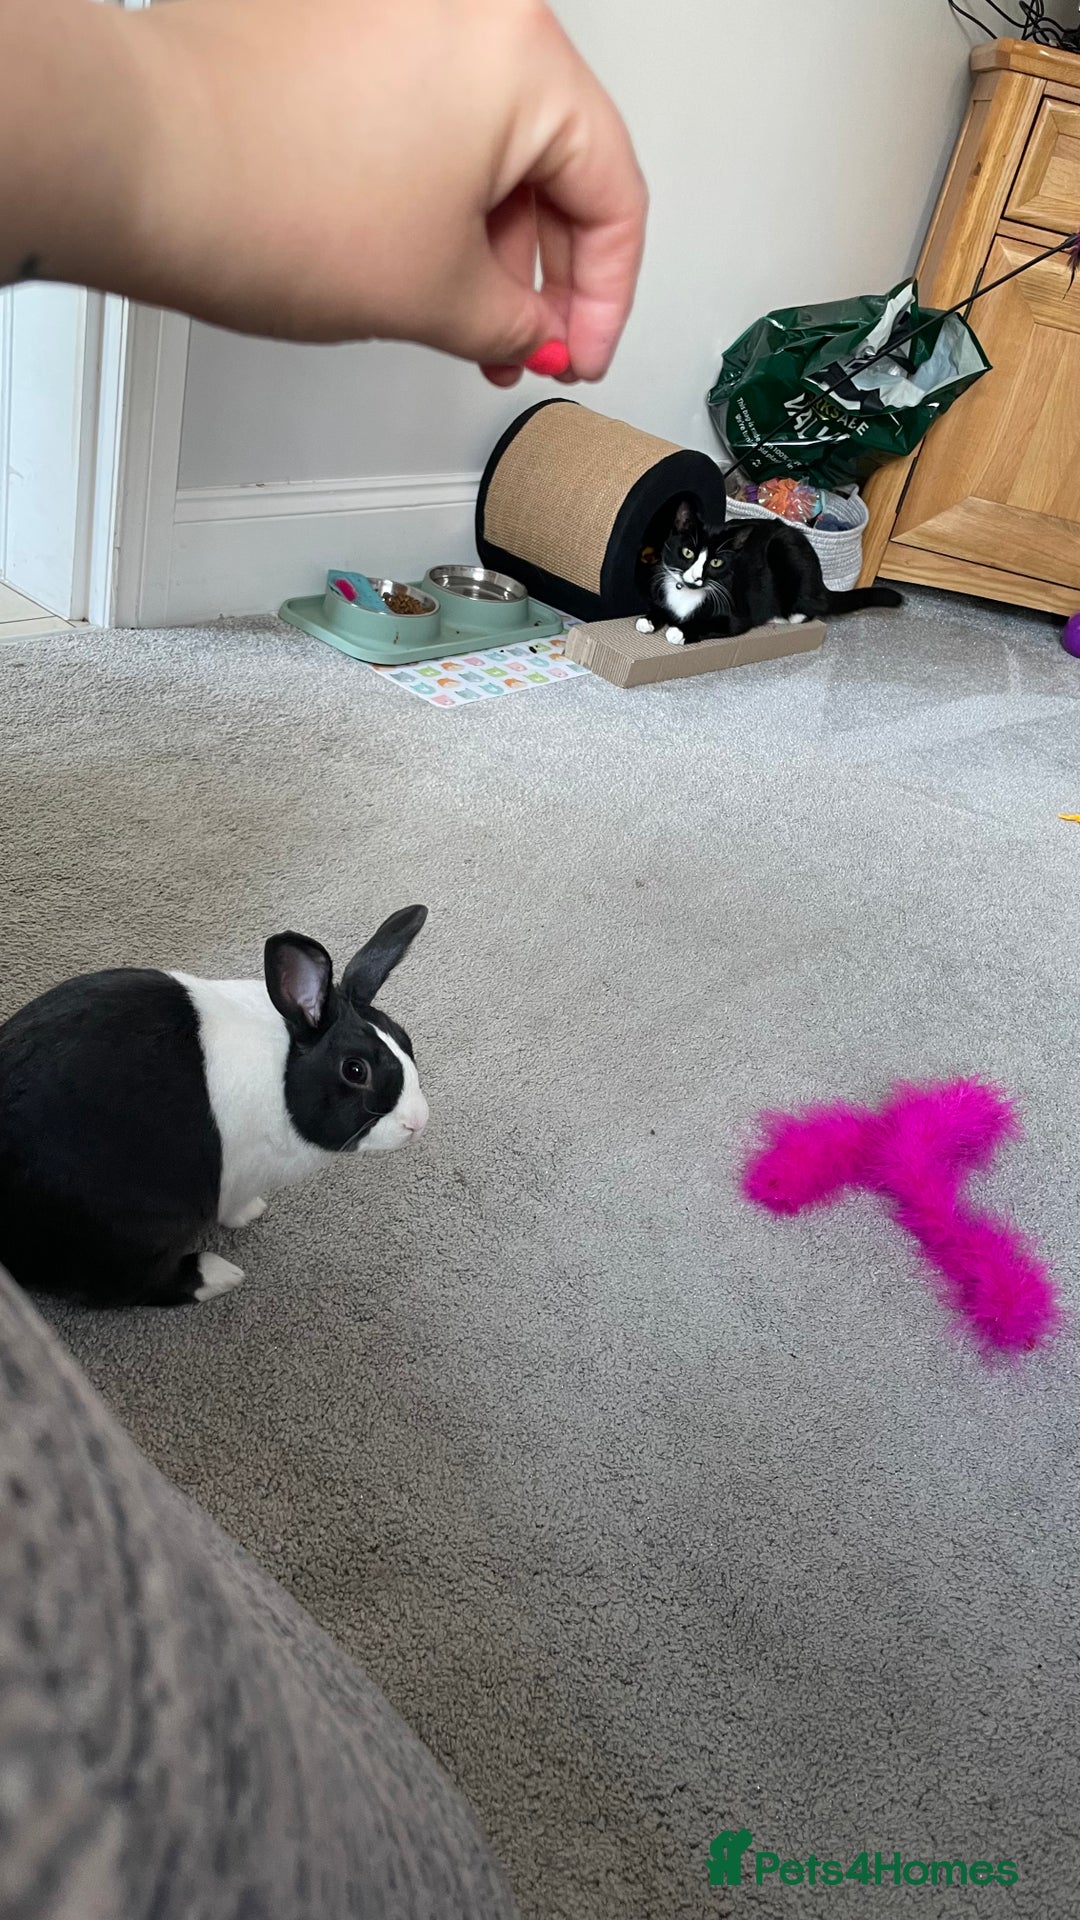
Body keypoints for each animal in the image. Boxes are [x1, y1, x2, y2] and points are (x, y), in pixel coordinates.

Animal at [0, 905, 429, 1308]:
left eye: (404, 1038)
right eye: (355, 1070)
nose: (418, 1121)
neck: (281, 1072)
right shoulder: (239, 1173)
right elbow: (233, 1204)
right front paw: (251, 1212)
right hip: (138, 1229)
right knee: (128, 1287)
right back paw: (219, 1275)